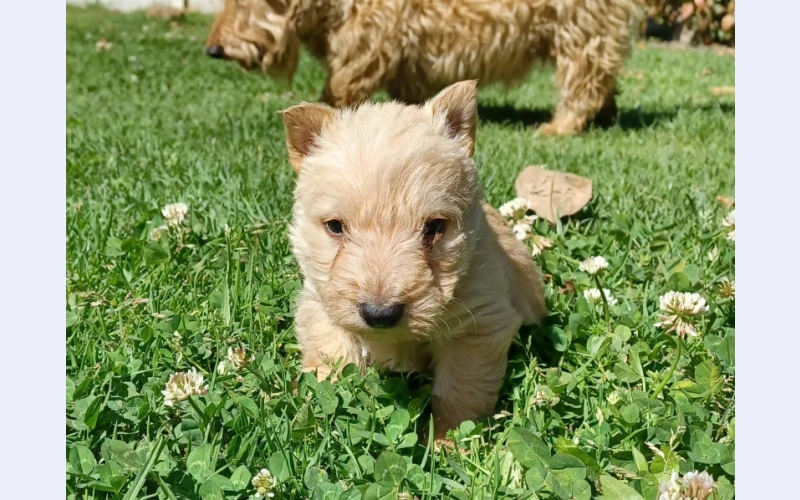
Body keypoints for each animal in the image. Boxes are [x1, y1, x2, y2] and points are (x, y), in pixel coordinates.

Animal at [206, 0, 644, 136]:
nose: (213, 49)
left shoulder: (370, 40)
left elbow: (342, 86)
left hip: (580, 29)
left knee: (585, 80)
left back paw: (562, 125)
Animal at [278, 79, 548, 438]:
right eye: (335, 226)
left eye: (434, 227)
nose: (380, 314)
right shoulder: (319, 305)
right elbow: (332, 362)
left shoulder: (480, 325)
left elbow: (460, 392)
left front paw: (447, 440)